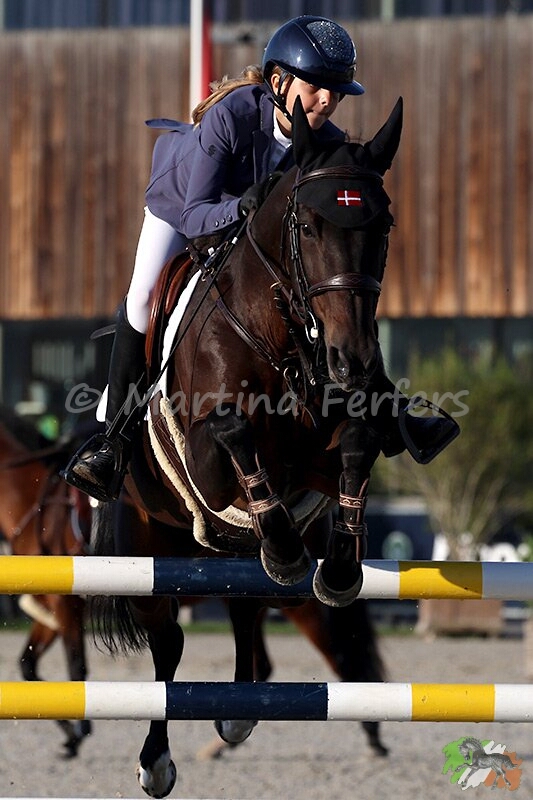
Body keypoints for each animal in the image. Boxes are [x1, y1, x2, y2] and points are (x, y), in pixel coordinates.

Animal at [0, 405, 93, 757]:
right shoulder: (51, 611)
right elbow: (27, 665)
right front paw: (70, 734)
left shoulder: (66, 605)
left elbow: (77, 666)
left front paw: (80, 730)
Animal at [93, 95, 402, 797]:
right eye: (308, 227)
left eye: (384, 226)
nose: (352, 362)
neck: (281, 329)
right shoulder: (209, 460)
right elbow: (234, 432)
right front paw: (291, 548)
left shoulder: (320, 456)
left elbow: (357, 441)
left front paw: (339, 564)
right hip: (148, 541)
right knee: (169, 642)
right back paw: (157, 762)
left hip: (227, 557)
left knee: (247, 607)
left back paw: (237, 714)